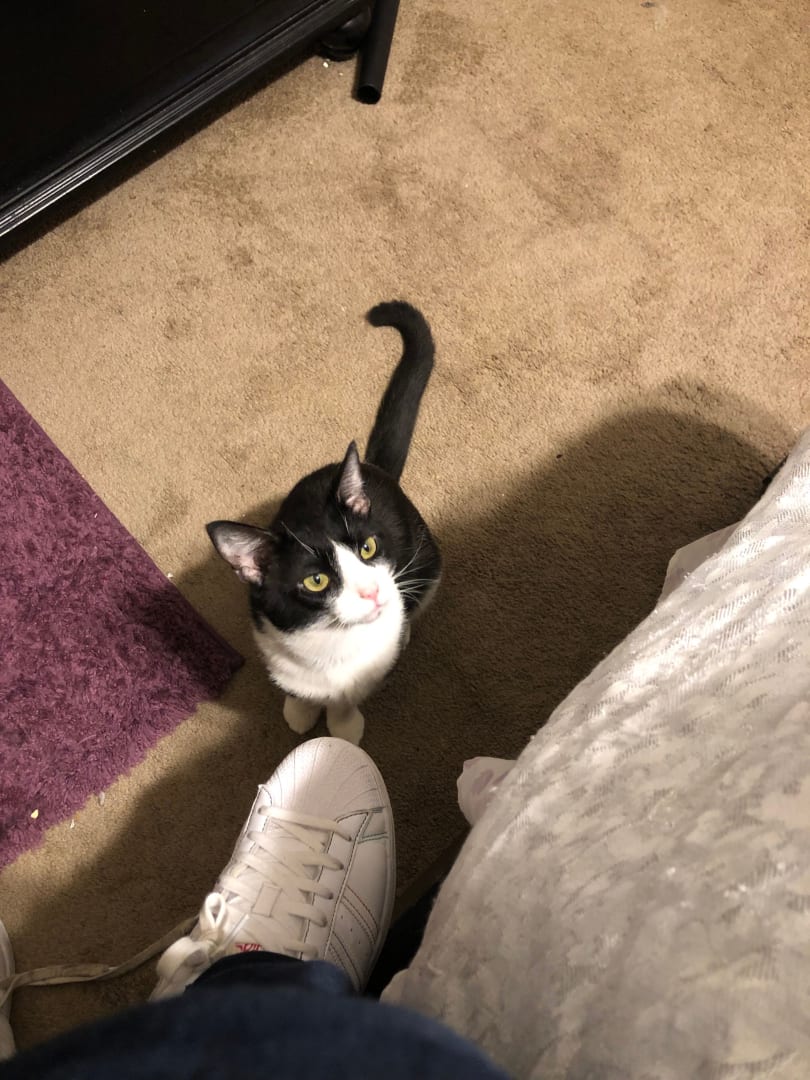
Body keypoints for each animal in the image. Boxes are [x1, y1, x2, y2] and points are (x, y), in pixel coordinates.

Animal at [207, 301, 442, 745]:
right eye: (315, 580)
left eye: (368, 548)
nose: (372, 592)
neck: (332, 643)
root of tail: (371, 470)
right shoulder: (268, 632)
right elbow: (294, 683)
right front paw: (300, 709)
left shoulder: (369, 664)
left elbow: (350, 695)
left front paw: (343, 726)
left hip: (429, 560)